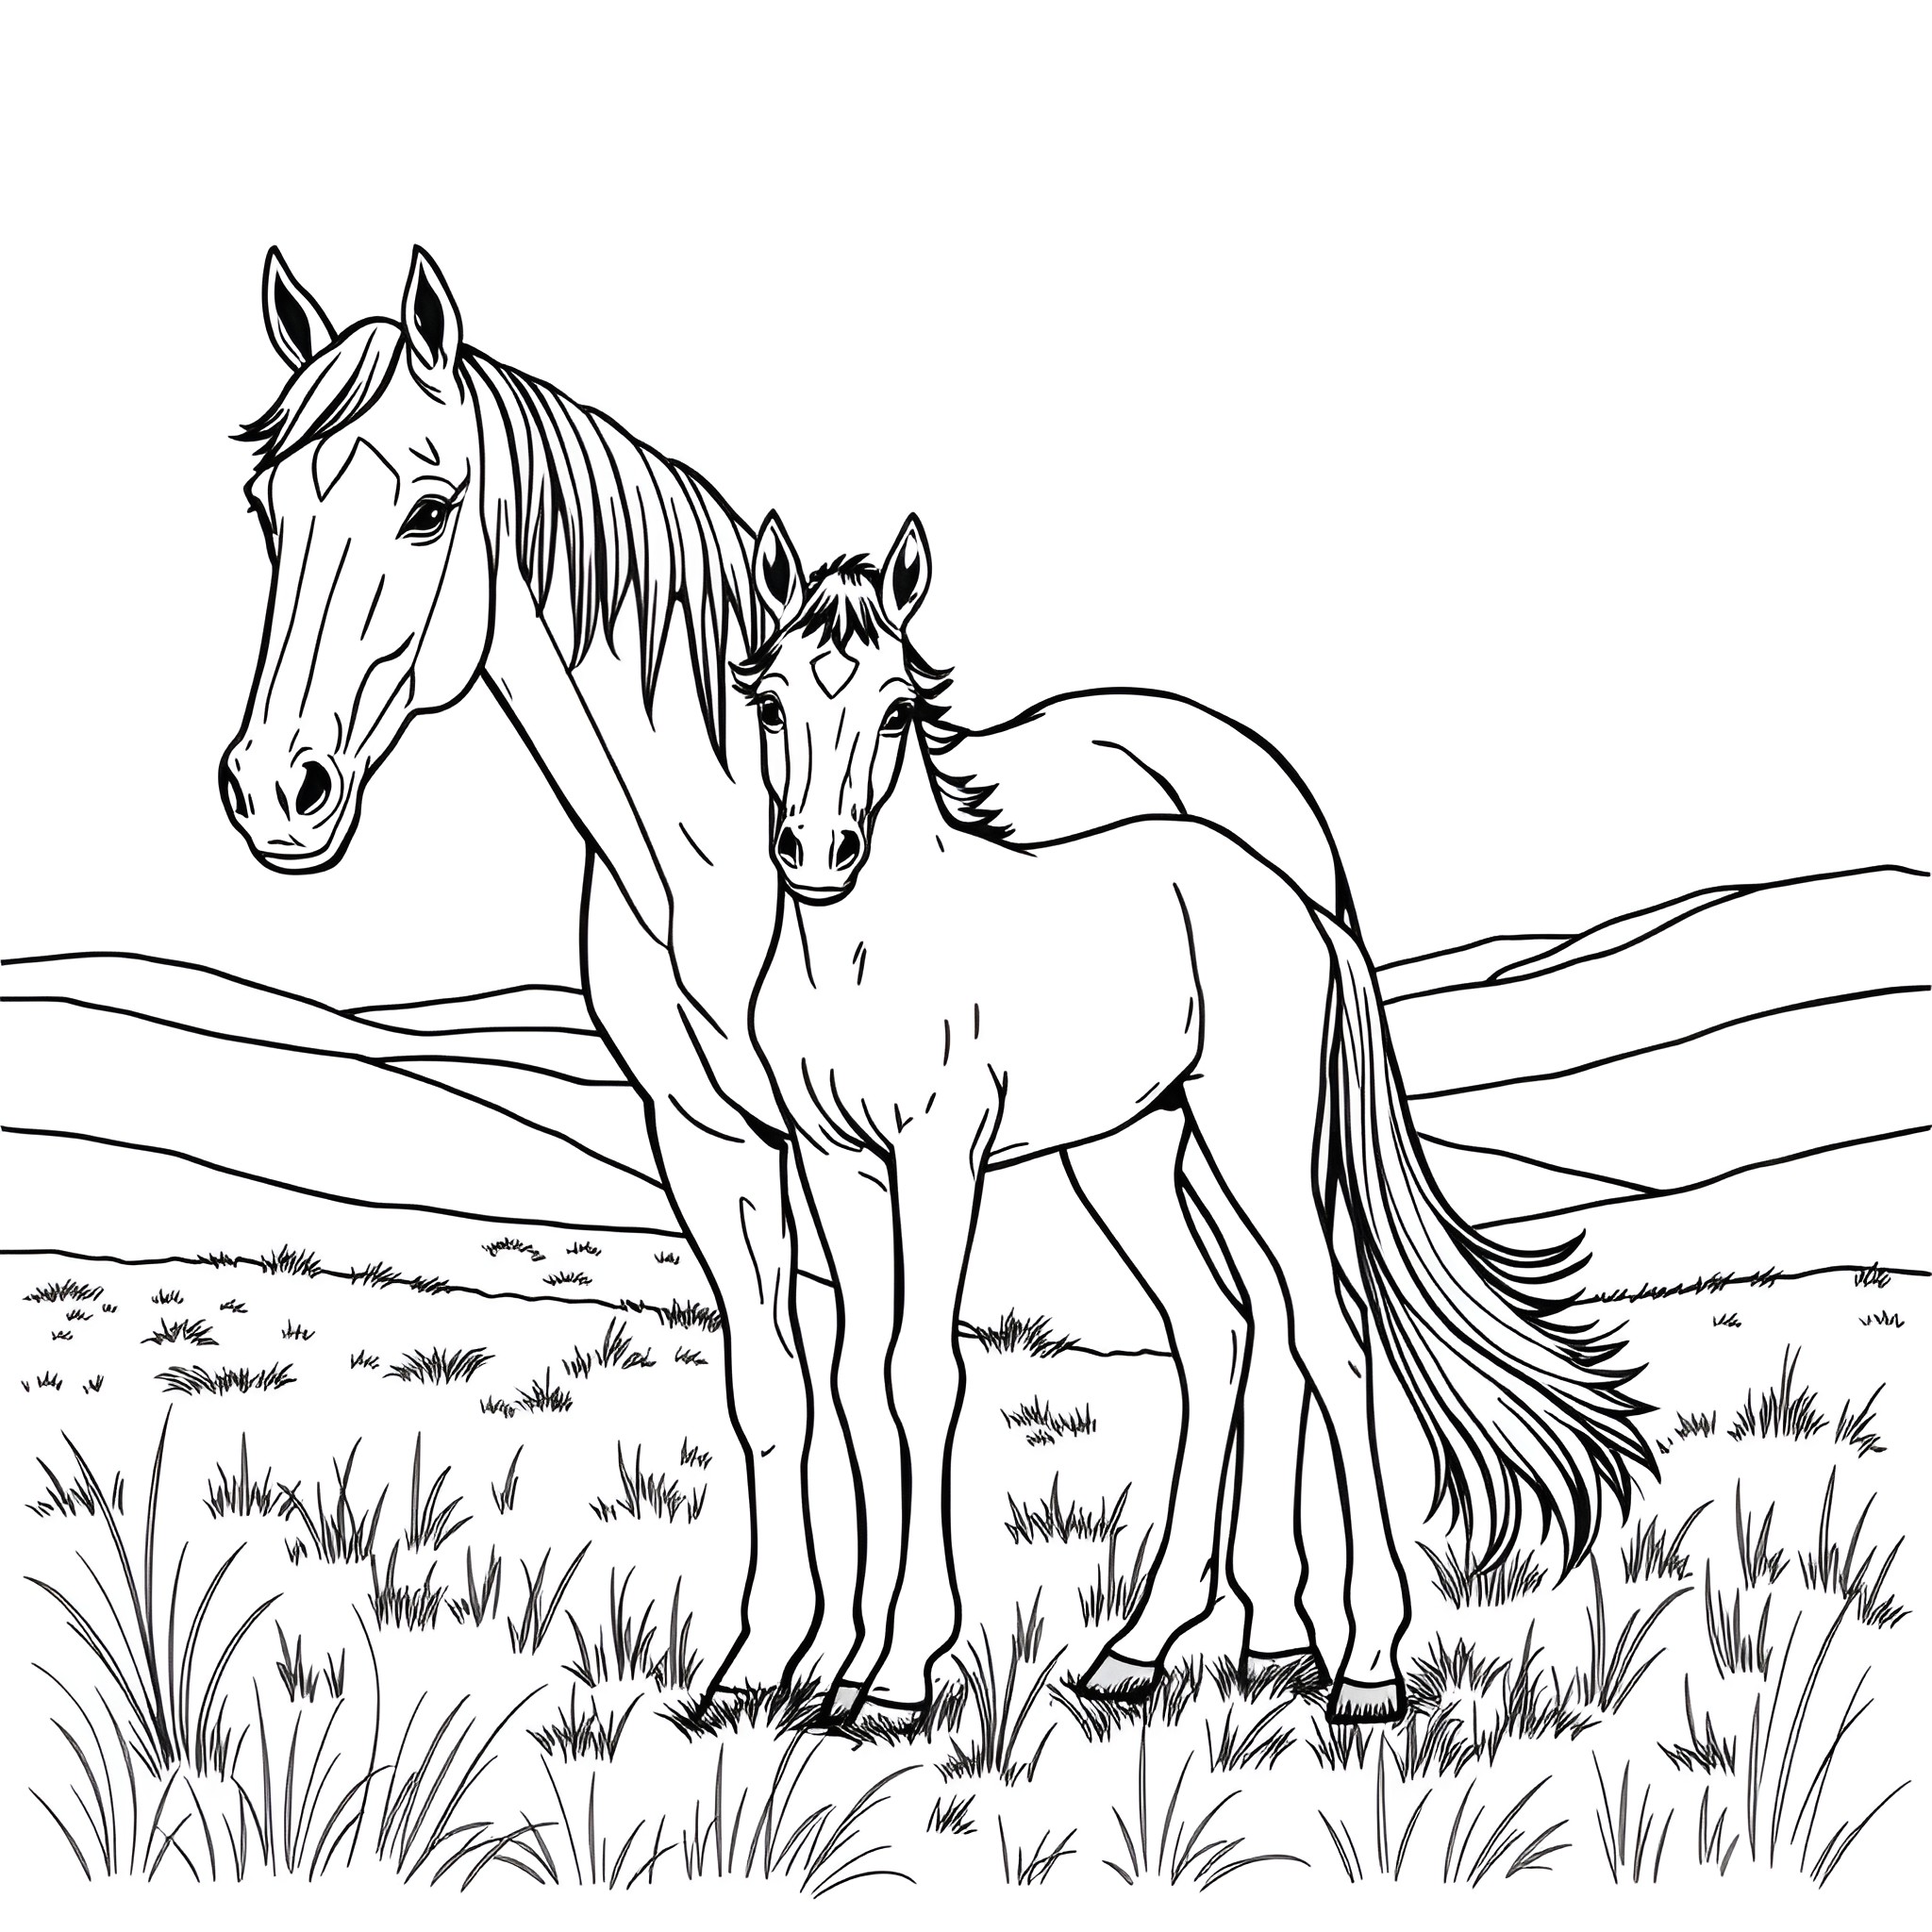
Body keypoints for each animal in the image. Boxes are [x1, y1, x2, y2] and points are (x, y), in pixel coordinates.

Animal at [742, 515, 1656, 1725]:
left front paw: (896, 1679)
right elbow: (853, 1384)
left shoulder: (939, 1156)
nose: (816, 853)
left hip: (1252, 1146)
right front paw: (844, 1673)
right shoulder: (831, 1160)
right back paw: (1133, 1650)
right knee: (1215, 1326)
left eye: (895, 708)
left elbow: (919, 1374)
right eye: (770, 701)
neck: (862, 953)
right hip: (1129, 1150)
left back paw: (1363, 1666)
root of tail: (1300, 901)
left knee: (1329, 1334)